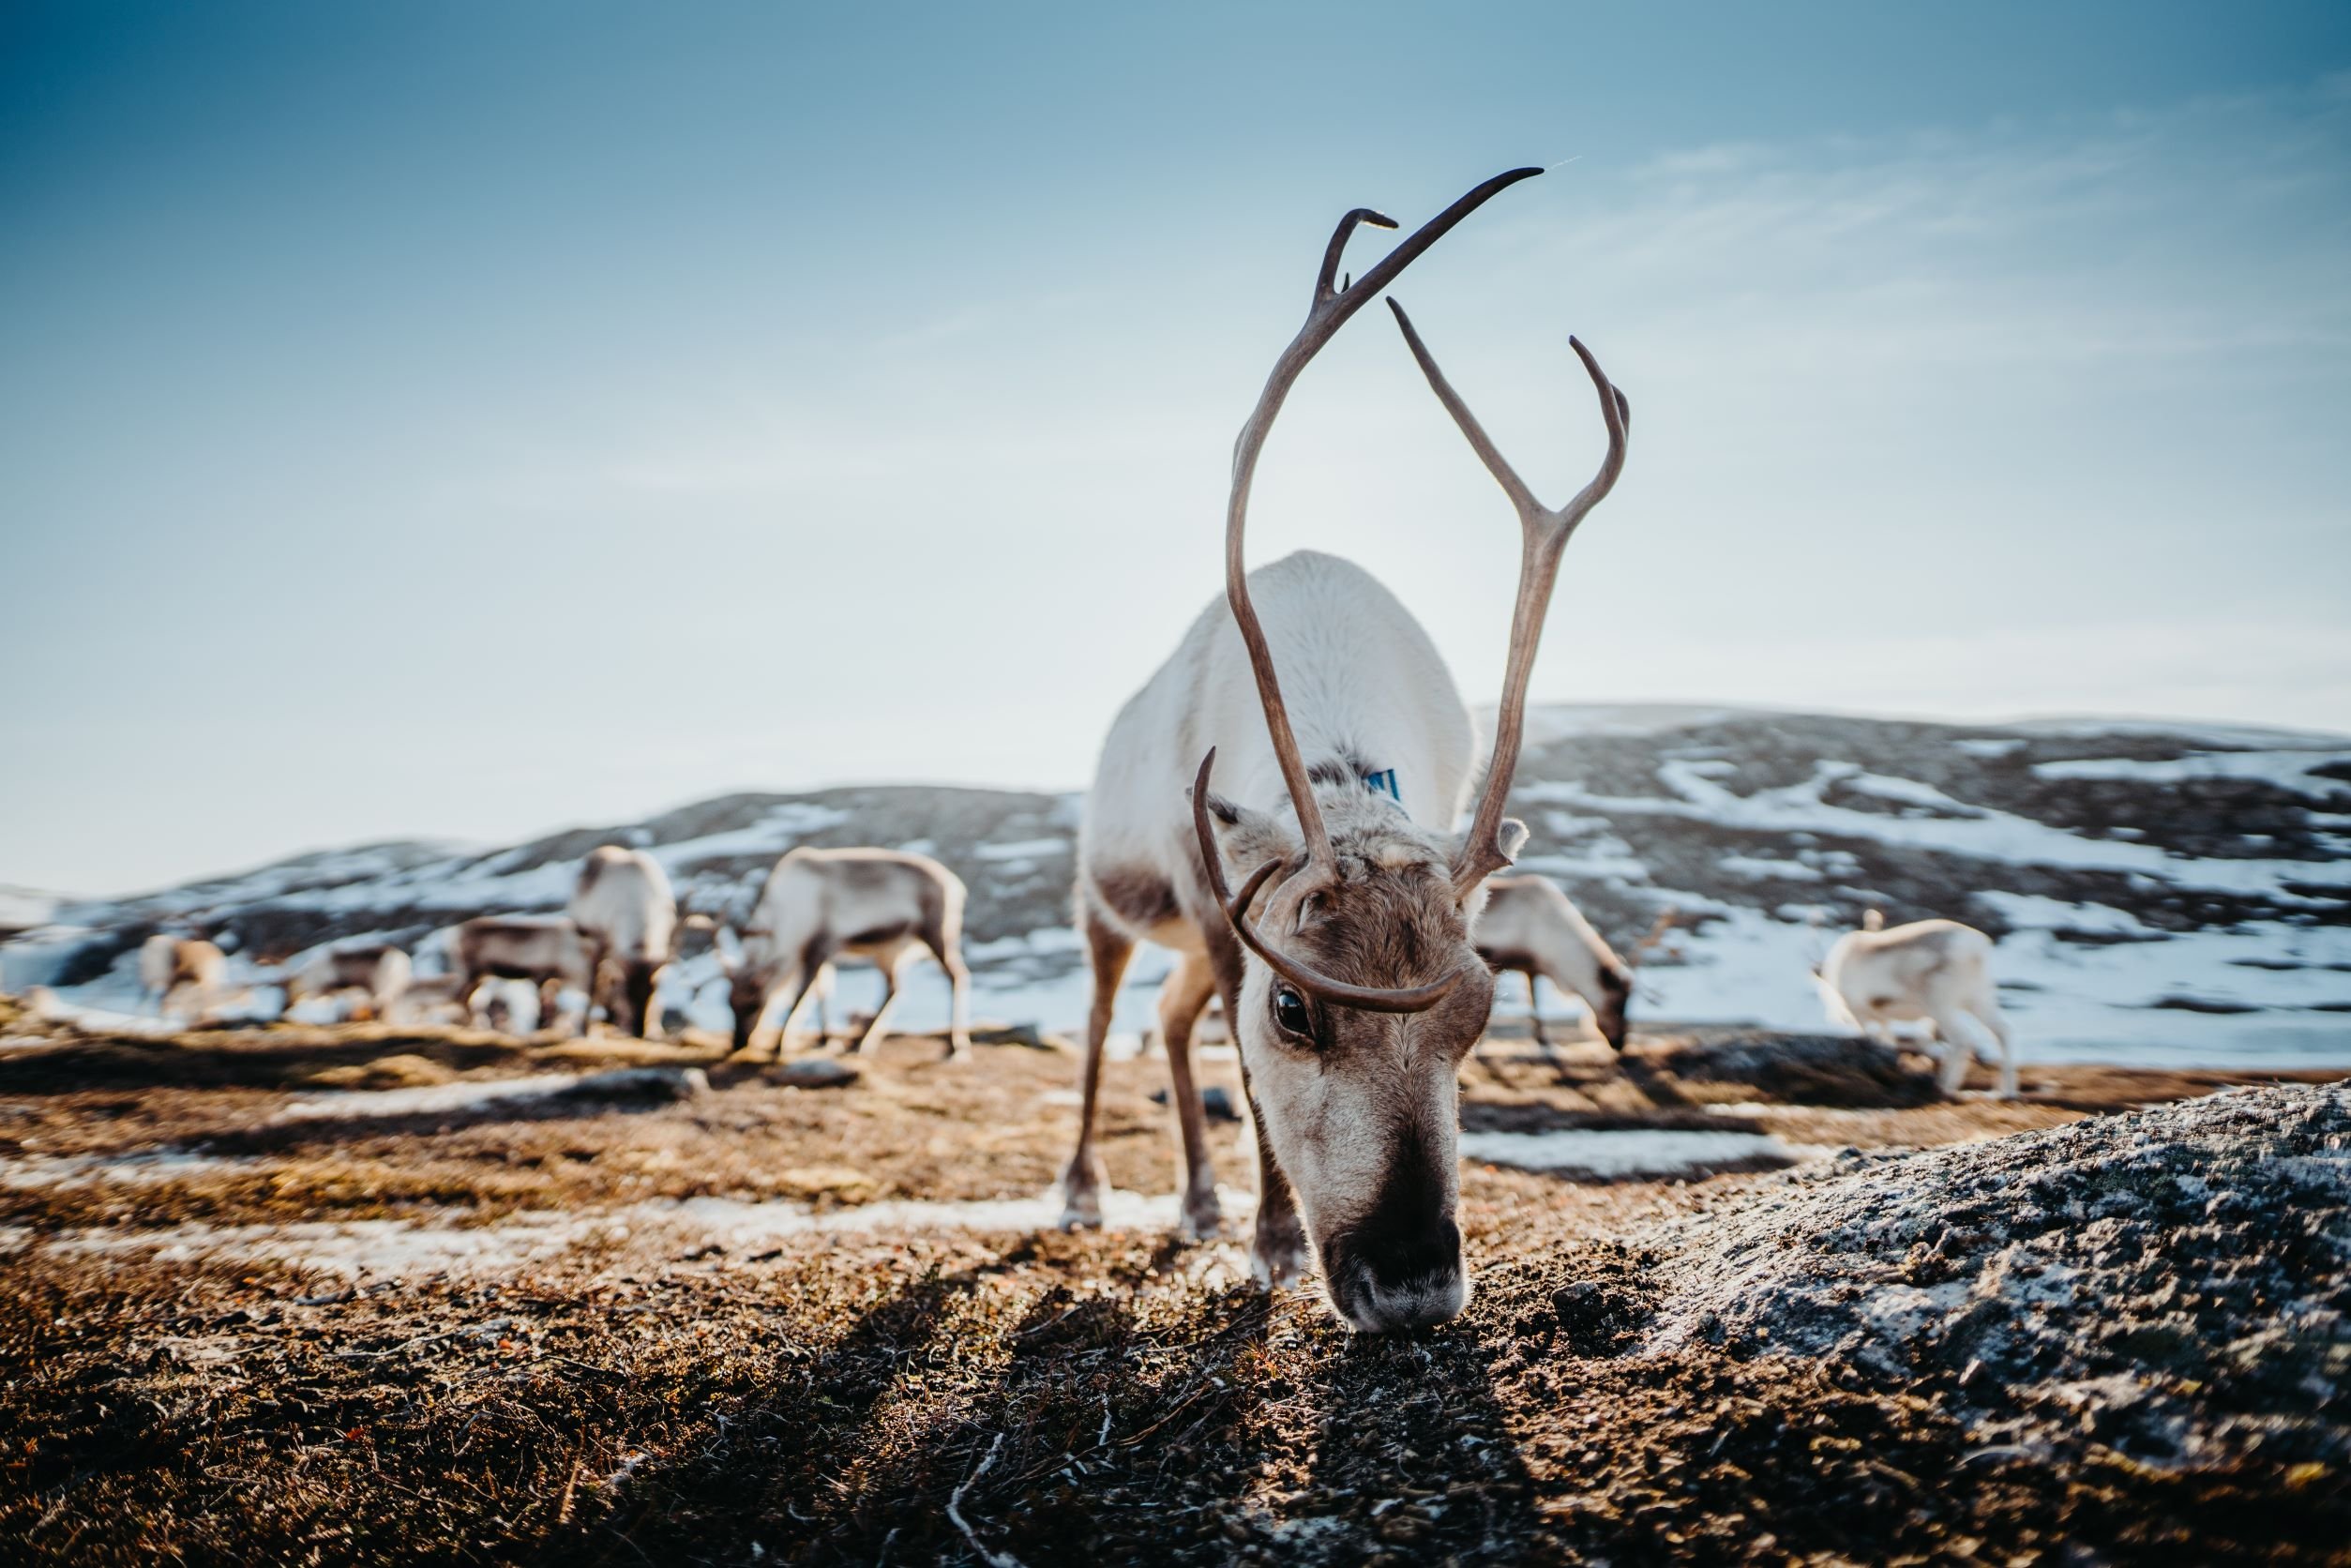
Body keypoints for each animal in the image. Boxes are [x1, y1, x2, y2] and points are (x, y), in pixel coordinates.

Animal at [718, 847, 974, 1060]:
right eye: (729, 1003)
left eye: (754, 1003)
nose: (739, 1044)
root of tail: (954, 884)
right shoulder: (817, 953)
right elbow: (821, 991)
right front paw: (825, 1039)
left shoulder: (821, 945)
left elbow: (800, 995)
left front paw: (779, 1046)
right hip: (887, 951)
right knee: (894, 988)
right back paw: (860, 1042)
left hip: (937, 932)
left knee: (956, 975)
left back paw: (955, 1045)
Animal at [1057, 166, 1630, 1333]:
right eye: (1294, 1008)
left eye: (1478, 1012)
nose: (1409, 1285)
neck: (1337, 769)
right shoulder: (1222, 909)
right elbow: (1240, 1063)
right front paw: (1273, 1245)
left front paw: (1246, 1228)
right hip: (1108, 902)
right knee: (1098, 1021)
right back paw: (1085, 1191)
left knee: (1169, 1020)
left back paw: (1195, 1200)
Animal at [1817, 909, 2018, 1098]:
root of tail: (1975, 950)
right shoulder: (1883, 1019)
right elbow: (1887, 1042)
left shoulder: (1859, 1013)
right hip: (1978, 1000)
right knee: (2003, 1031)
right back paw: (2006, 1092)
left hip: (1941, 1006)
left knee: (1962, 1039)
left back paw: (1944, 1087)